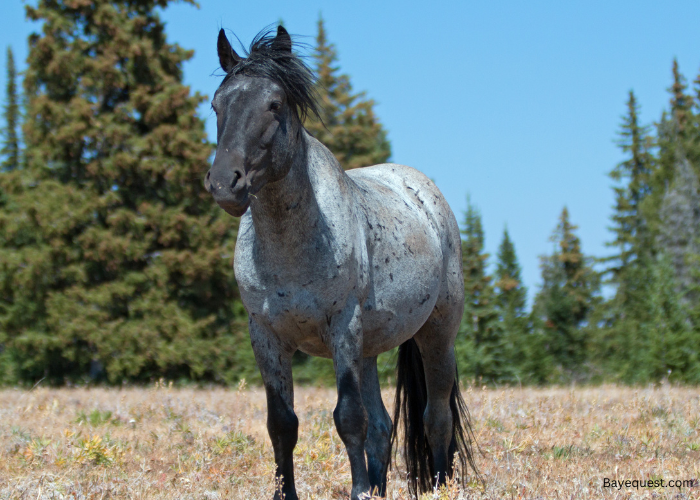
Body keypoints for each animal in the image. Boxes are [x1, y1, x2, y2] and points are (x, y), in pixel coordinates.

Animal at [205, 25, 478, 498]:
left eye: (274, 103)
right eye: (217, 104)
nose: (225, 183)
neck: (292, 248)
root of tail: (424, 192)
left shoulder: (342, 329)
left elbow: (349, 418)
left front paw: (359, 491)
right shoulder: (266, 338)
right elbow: (282, 424)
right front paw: (287, 494)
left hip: (436, 335)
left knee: (436, 417)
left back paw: (440, 485)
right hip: (368, 351)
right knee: (383, 426)